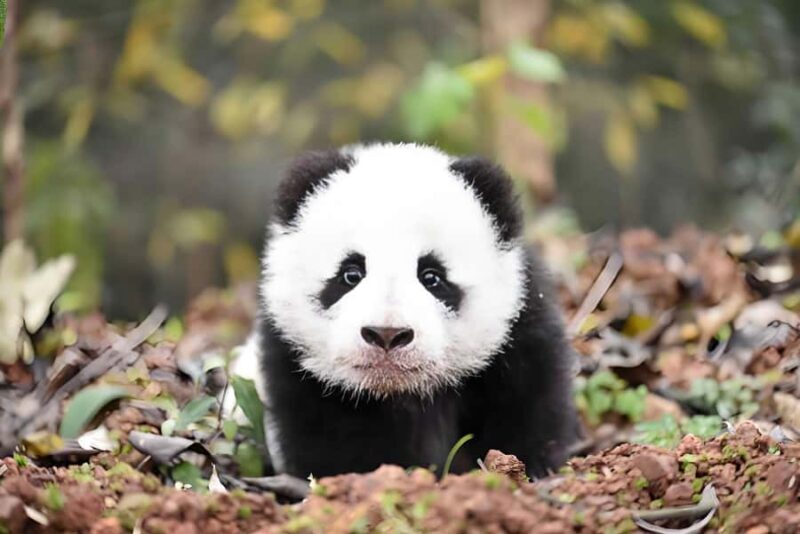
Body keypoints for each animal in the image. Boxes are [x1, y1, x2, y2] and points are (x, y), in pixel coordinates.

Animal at [230, 142, 578, 479]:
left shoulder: (517, 343)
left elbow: (526, 413)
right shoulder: (296, 371)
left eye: (432, 277)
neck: (398, 392)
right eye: (351, 274)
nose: (387, 334)